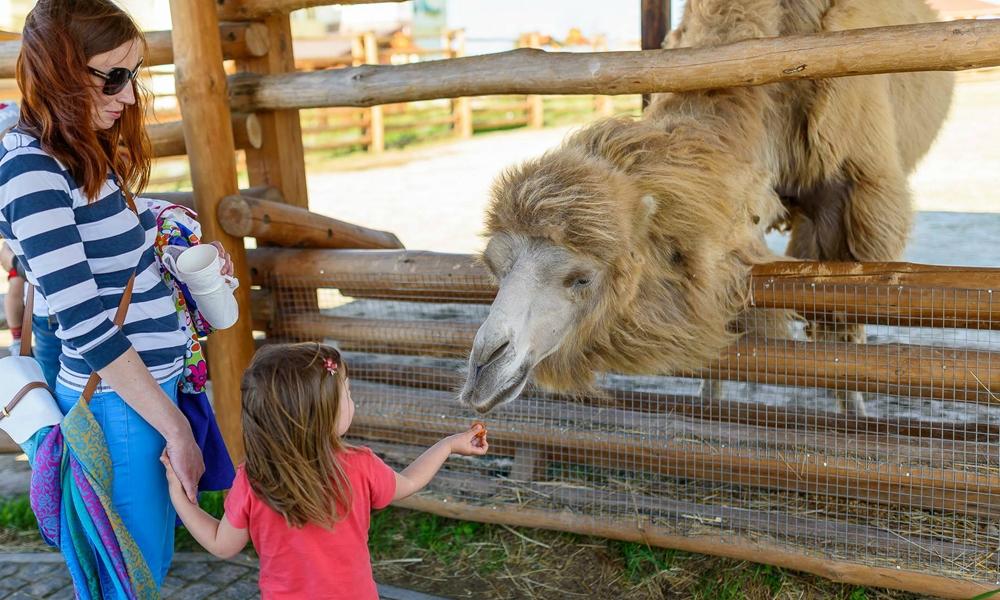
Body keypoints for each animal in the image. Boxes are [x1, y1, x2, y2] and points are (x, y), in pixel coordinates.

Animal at [458, 0, 952, 412]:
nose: (483, 366)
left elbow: (844, 322)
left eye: (581, 278)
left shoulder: (849, 196)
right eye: (495, 268)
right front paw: (709, 409)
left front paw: (856, 416)